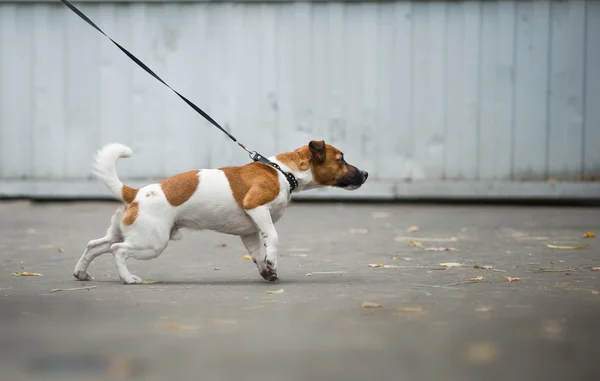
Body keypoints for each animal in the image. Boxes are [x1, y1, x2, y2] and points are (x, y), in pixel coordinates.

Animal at [72, 140, 368, 282]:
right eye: (341, 159)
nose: (365, 174)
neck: (283, 172)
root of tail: (136, 193)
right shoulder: (257, 208)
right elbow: (273, 238)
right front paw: (272, 261)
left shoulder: (249, 231)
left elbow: (258, 254)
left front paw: (267, 271)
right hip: (151, 243)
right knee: (116, 251)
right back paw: (128, 278)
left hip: (126, 233)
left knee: (95, 246)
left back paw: (81, 273)